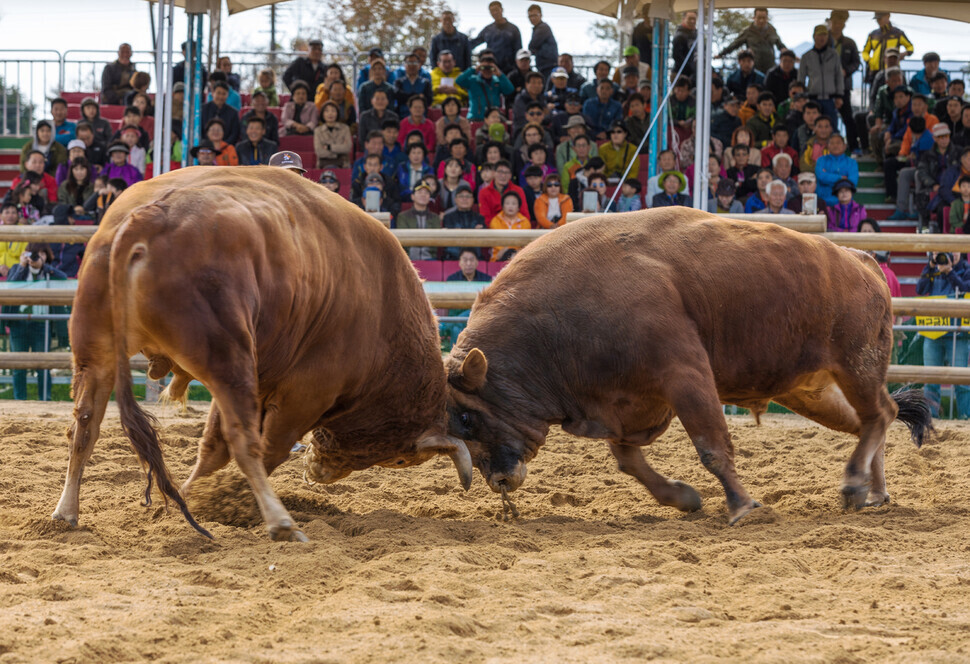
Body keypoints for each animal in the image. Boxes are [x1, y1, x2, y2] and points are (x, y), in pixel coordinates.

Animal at [51, 166, 470, 540]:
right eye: (400, 458)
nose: (317, 471)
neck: (383, 300)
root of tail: (147, 218)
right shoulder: (305, 392)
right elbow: (269, 448)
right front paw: (224, 501)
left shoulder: (261, 378)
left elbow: (212, 448)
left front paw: (190, 501)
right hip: (225, 359)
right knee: (246, 442)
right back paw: (281, 522)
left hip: (103, 353)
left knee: (85, 425)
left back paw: (66, 512)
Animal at [444, 208, 932, 524]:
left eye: (467, 417)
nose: (498, 480)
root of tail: (860, 261)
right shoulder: (624, 405)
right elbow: (628, 460)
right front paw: (682, 498)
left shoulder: (686, 377)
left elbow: (711, 446)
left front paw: (740, 506)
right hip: (811, 389)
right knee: (870, 421)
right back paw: (874, 491)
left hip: (856, 365)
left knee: (880, 413)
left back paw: (854, 485)